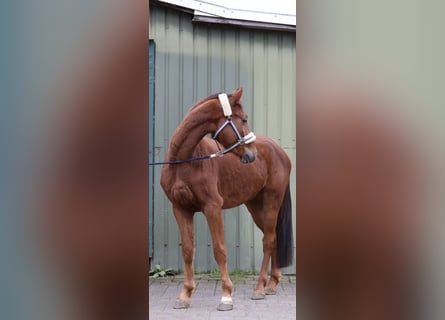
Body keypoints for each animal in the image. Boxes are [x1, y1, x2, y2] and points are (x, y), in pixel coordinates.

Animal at [158, 87, 294, 310]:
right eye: (244, 119)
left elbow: (220, 250)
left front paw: (226, 296)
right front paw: (185, 295)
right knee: (272, 237)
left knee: (268, 240)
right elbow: (187, 250)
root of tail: (280, 152)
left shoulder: (212, 207)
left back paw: (259, 288)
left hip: (271, 202)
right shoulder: (180, 208)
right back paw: (271, 284)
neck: (185, 161)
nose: (252, 155)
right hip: (256, 206)